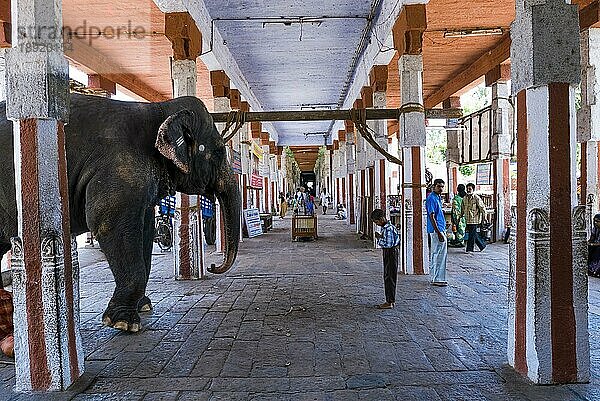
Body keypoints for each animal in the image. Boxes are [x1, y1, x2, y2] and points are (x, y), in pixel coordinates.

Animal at [0, 93, 241, 332]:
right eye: (219, 152)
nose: (213, 266)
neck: (159, 109)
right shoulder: (119, 170)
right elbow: (109, 224)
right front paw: (124, 323)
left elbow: (145, 229)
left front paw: (143, 307)